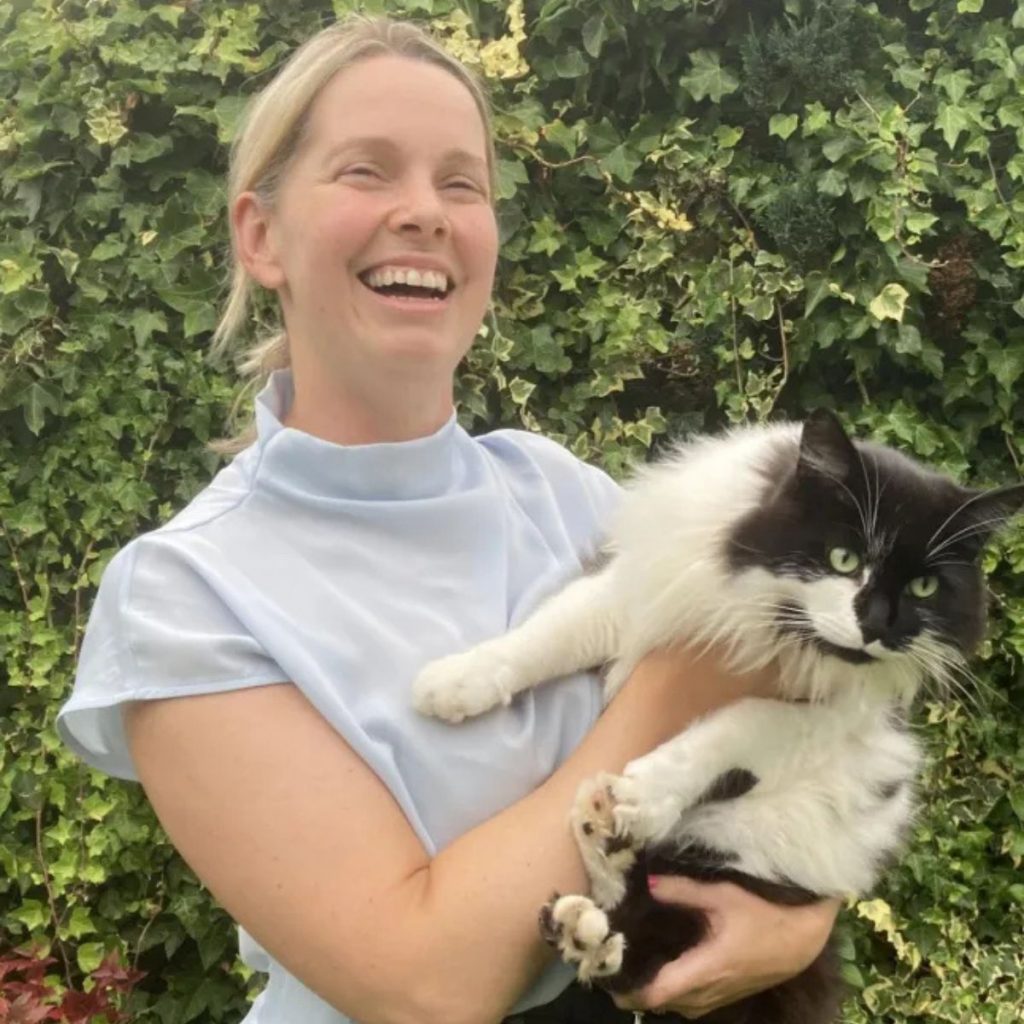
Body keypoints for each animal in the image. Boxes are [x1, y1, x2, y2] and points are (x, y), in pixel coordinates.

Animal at [409, 409, 1024, 1024]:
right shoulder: (641, 592)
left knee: (645, 945)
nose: (877, 625)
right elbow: (550, 633)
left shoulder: (843, 720)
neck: (778, 624)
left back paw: (594, 891)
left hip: (749, 858)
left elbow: (739, 721)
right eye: (844, 559)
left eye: (925, 586)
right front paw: (449, 685)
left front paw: (647, 791)